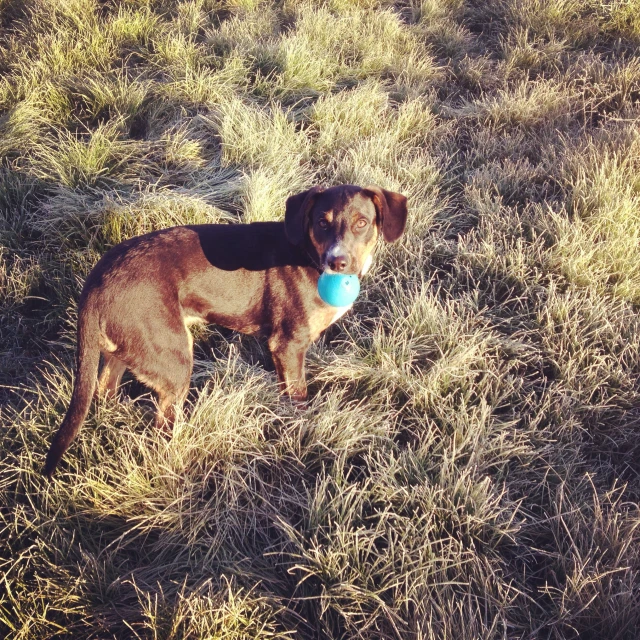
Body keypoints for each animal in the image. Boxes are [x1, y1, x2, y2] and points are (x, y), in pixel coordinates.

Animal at [42, 184, 408, 476]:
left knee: (104, 391)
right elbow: (299, 400)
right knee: (162, 428)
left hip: (125, 348)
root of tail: (95, 282)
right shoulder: (288, 345)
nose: (338, 262)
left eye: (362, 223)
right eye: (321, 222)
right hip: (175, 360)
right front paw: (302, 432)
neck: (308, 253)